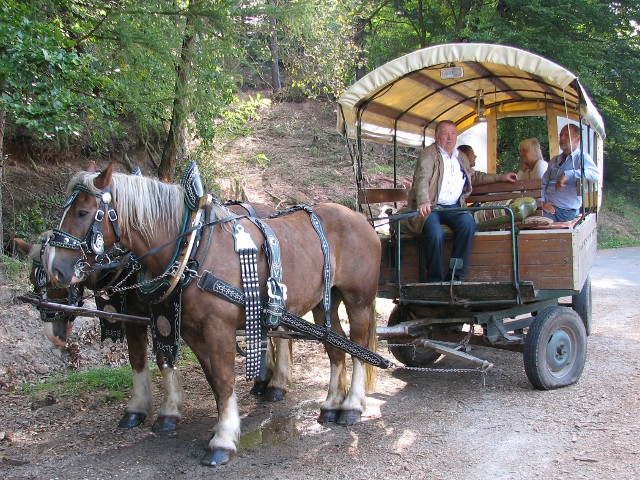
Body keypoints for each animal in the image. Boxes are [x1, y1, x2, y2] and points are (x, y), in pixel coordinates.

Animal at [46, 163, 384, 466]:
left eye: (83, 212)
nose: (57, 270)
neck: (192, 249)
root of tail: (362, 219)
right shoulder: (189, 329)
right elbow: (211, 378)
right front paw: (222, 425)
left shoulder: (217, 328)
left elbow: (222, 378)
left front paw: (222, 440)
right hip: (323, 303)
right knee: (336, 348)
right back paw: (331, 404)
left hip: (358, 300)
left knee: (358, 349)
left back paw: (352, 406)